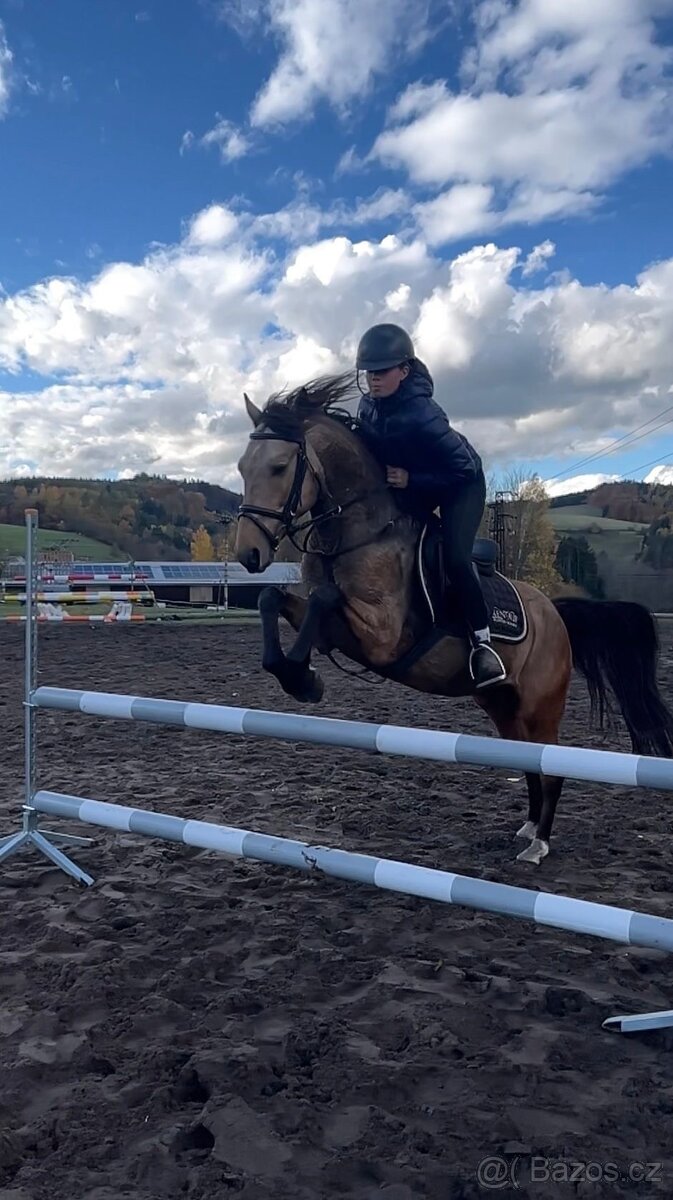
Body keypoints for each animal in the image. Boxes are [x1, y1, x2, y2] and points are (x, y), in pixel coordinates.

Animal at [234, 373, 673, 865]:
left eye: (278, 467)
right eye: (241, 468)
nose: (249, 555)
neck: (358, 533)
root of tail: (555, 613)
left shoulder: (381, 636)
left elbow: (322, 599)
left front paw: (302, 678)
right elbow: (272, 598)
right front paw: (296, 674)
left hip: (540, 706)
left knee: (552, 767)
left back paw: (539, 844)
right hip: (501, 706)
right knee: (529, 764)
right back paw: (527, 828)